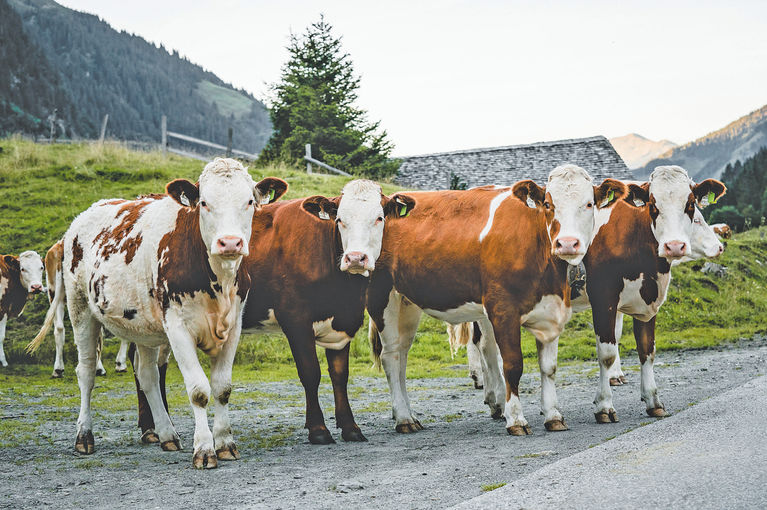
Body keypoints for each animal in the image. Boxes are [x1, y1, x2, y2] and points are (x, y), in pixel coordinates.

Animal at [28, 158, 288, 466]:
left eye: (249, 201)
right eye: (204, 202)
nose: (230, 243)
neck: (217, 281)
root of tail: (81, 219)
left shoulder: (233, 325)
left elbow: (222, 388)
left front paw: (225, 443)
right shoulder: (177, 328)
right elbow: (199, 391)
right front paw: (204, 449)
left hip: (143, 326)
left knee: (147, 375)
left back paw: (166, 434)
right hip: (80, 309)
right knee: (87, 372)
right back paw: (84, 436)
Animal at [127, 179, 416, 446]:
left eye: (379, 218)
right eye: (340, 220)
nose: (355, 258)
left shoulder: (343, 322)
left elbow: (339, 375)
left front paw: (350, 427)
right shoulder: (296, 320)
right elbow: (311, 373)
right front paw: (318, 429)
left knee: (149, 365)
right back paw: (152, 428)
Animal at [368, 165, 632, 436]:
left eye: (589, 204)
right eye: (548, 204)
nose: (567, 243)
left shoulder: (551, 309)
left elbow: (549, 367)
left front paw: (553, 415)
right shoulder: (503, 308)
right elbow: (513, 365)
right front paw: (516, 419)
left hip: (406, 303)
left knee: (401, 354)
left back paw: (408, 414)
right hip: (381, 297)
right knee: (391, 357)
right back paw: (404, 418)